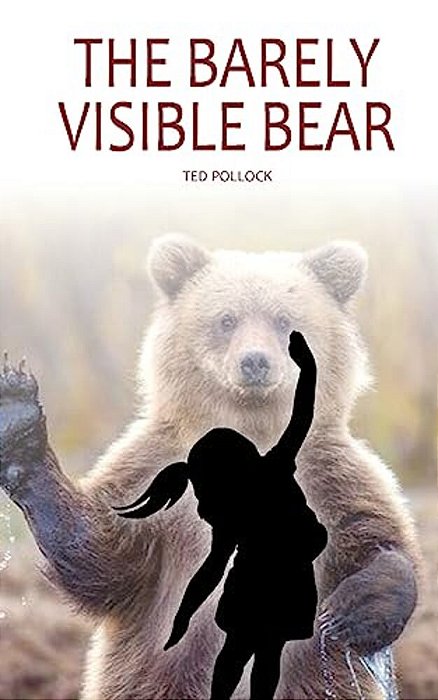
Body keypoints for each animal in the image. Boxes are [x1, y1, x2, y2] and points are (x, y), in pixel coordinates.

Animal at [0, 234, 421, 700]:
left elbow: (376, 538)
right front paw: (18, 422)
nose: (255, 362)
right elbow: (103, 554)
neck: (252, 433)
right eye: (226, 319)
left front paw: (354, 611)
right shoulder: (152, 470)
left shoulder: (331, 474)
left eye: (284, 319)